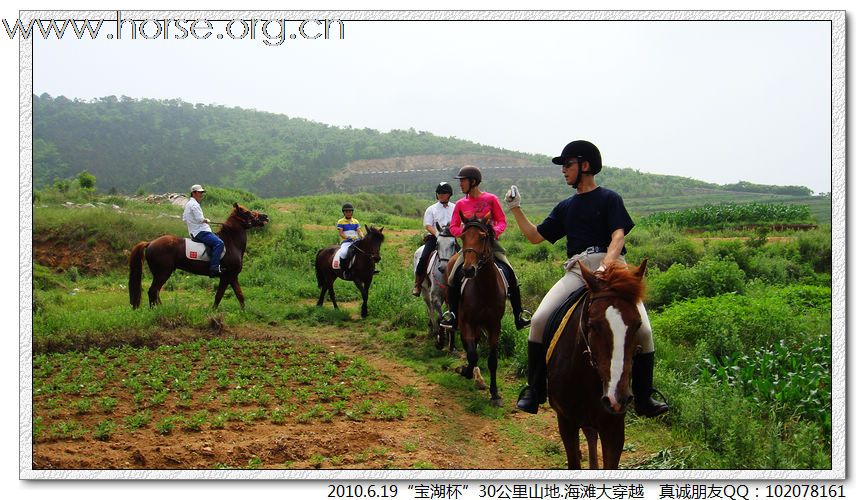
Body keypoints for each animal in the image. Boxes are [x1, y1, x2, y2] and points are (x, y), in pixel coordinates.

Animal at [128, 203, 268, 308]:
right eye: (247, 212)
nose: (265, 216)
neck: (231, 242)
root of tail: (150, 243)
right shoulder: (227, 276)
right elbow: (220, 295)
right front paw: (213, 311)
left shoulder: (232, 276)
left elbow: (239, 295)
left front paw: (244, 312)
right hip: (163, 273)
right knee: (153, 291)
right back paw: (156, 310)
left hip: (160, 274)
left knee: (155, 292)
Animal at [412, 223, 460, 352]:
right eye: (437, 243)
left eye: (453, 244)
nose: (443, 267)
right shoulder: (436, 297)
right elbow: (440, 317)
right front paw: (440, 340)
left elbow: (451, 317)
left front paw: (452, 343)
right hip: (425, 291)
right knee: (430, 309)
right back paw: (433, 330)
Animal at [446, 214, 506, 406]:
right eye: (463, 236)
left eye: (483, 237)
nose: (468, 270)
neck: (485, 288)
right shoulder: (466, 322)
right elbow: (472, 354)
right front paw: (464, 370)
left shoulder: (494, 325)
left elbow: (492, 360)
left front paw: (495, 394)